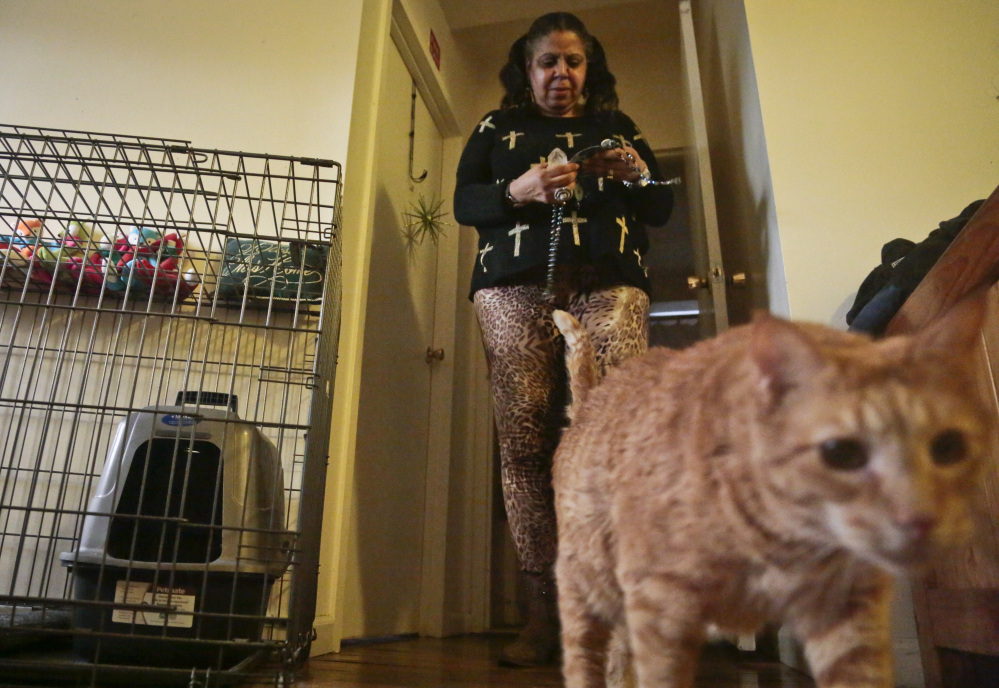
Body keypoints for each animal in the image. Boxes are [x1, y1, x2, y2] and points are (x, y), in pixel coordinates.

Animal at [552, 296, 996, 688]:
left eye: (949, 447)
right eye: (840, 453)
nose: (919, 517)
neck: (785, 541)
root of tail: (590, 399)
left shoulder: (849, 615)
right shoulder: (659, 605)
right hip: (586, 586)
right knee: (584, 661)